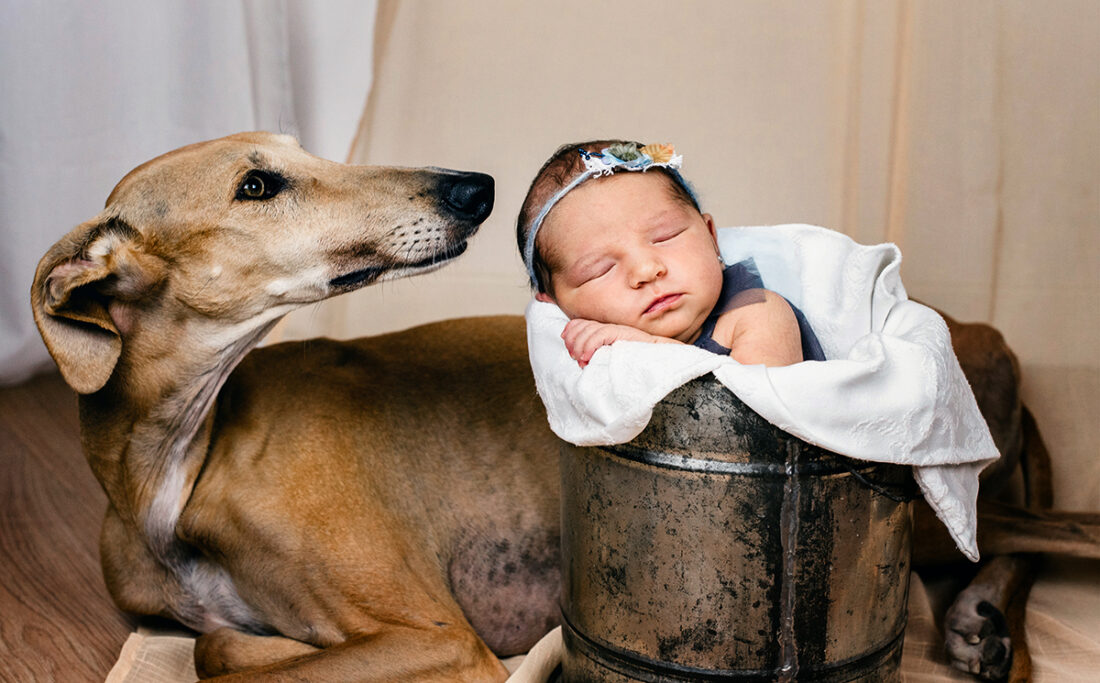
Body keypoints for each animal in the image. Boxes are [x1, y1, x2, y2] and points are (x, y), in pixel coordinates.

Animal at [30, 130, 1095, 677]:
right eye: (256, 183)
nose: (473, 186)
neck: (179, 457)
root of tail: (984, 332)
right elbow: (205, 636)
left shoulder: (438, 640)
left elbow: (215, 651)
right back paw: (977, 622)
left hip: (939, 494)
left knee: (1047, 530)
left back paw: (983, 617)